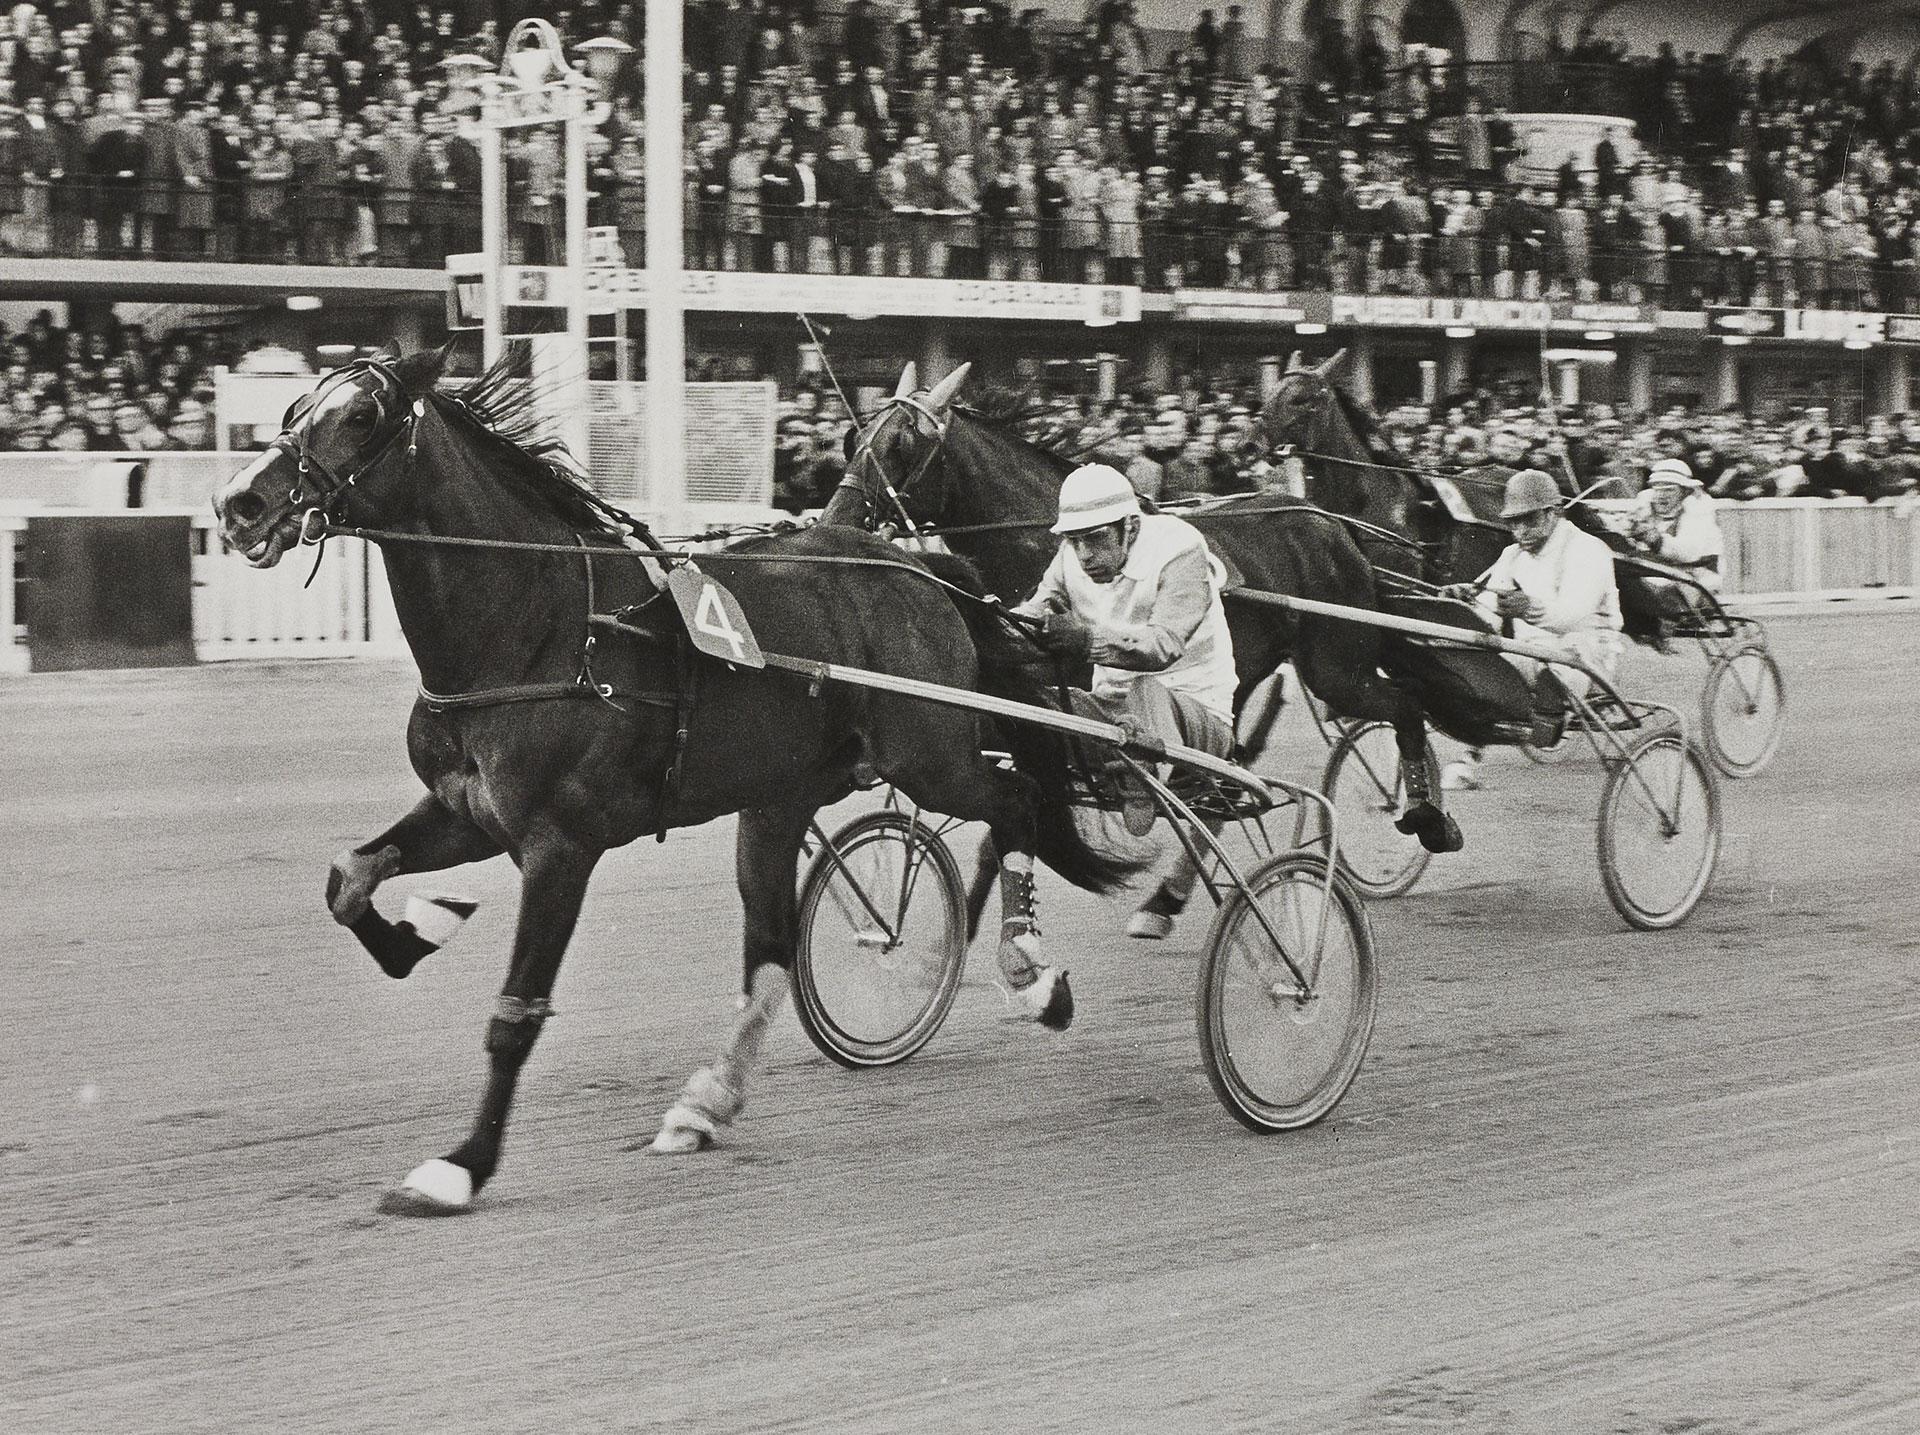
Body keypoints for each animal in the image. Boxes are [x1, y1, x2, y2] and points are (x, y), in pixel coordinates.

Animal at [210, 345, 1136, 1214]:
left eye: (362, 415)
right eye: (295, 406)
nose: (238, 502)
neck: (539, 628)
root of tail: (921, 572)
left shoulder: (560, 846)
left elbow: (514, 1014)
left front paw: (460, 1165)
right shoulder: (466, 813)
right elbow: (348, 877)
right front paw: (417, 931)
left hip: (931, 755)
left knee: (1016, 801)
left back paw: (1032, 974)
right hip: (778, 799)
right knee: (769, 951)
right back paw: (707, 1101)